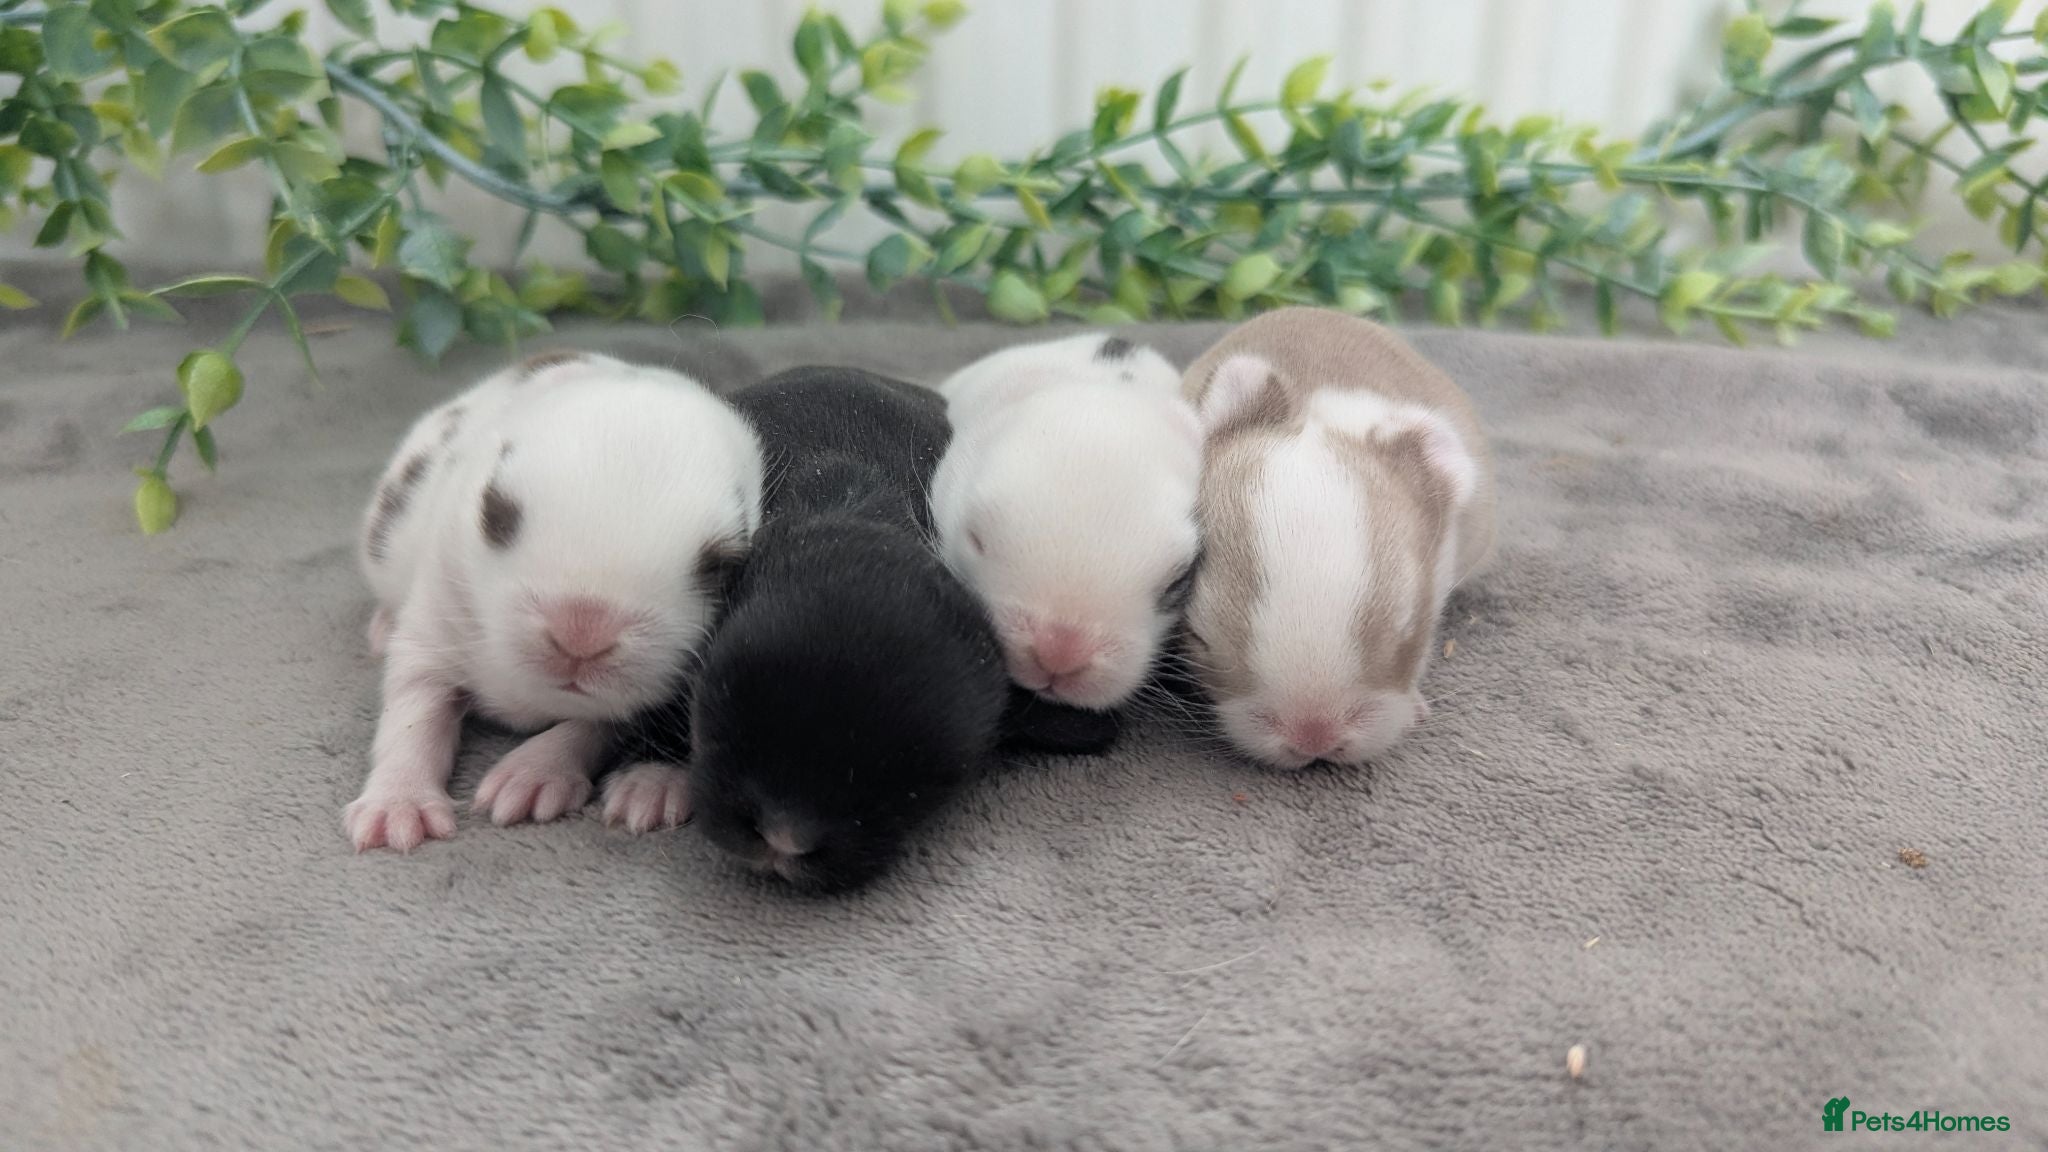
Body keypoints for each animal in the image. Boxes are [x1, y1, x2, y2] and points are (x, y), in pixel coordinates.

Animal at [344, 350, 762, 852]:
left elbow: (590, 725)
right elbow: (413, 714)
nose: (581, 638)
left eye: (720, 565)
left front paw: (530, 779)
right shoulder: (432, 626)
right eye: (495, 512)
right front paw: (397, 809)